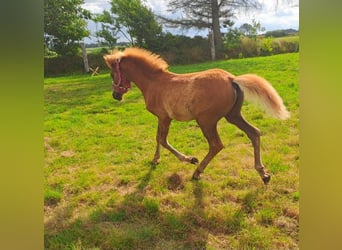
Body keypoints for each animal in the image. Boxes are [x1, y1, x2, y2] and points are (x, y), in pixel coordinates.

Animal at [103, 47, 288, 184]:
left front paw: (190, 159)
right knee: (254, 133)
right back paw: (264, 174)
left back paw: (197, 172)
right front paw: (155, 160)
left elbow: (162, 140)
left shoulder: (164, 117)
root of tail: (232, 79)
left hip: (206, 120)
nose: (116, 96)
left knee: (216, 145)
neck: (154, 83)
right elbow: (157, 138)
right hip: (233, 115)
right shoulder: (161, 118)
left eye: (112, 74)